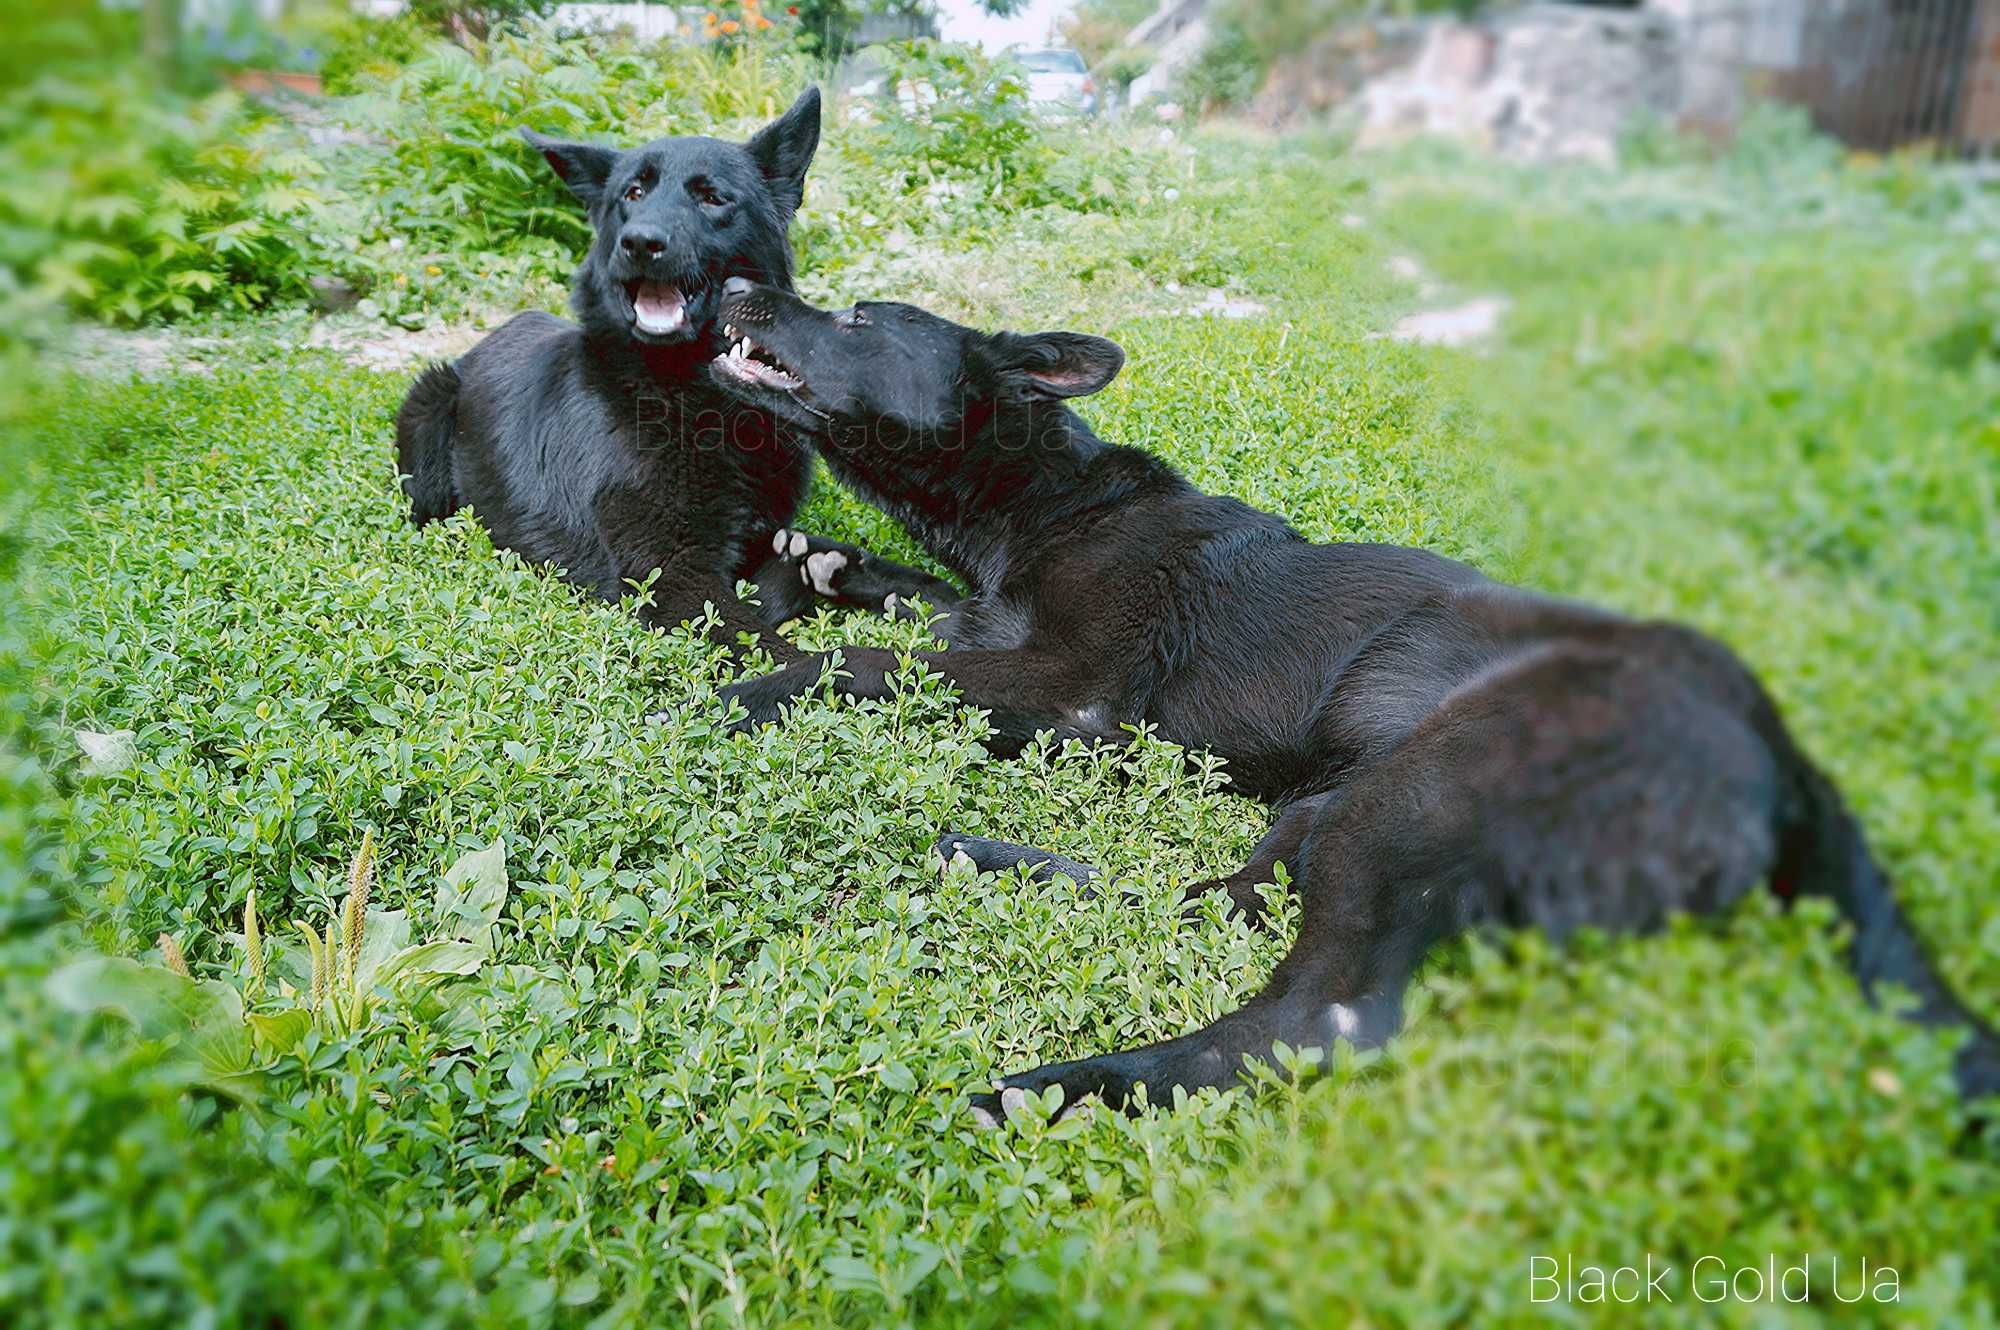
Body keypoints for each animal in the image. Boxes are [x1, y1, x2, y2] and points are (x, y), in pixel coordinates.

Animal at [704, 278, 2000, 1120]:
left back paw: (1058, 1087)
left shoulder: (1068, 693)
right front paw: (826, 565)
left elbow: (864, 666)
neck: (1043, 501)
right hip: (1340, 800)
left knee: (1313, 1016)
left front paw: (751, 687)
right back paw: (986, 860)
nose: (734, 287)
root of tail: (1782, 750)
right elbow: (909, 613)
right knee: (1209, 902)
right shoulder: (986, 624)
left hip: (1421, 796)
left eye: (861, 318)